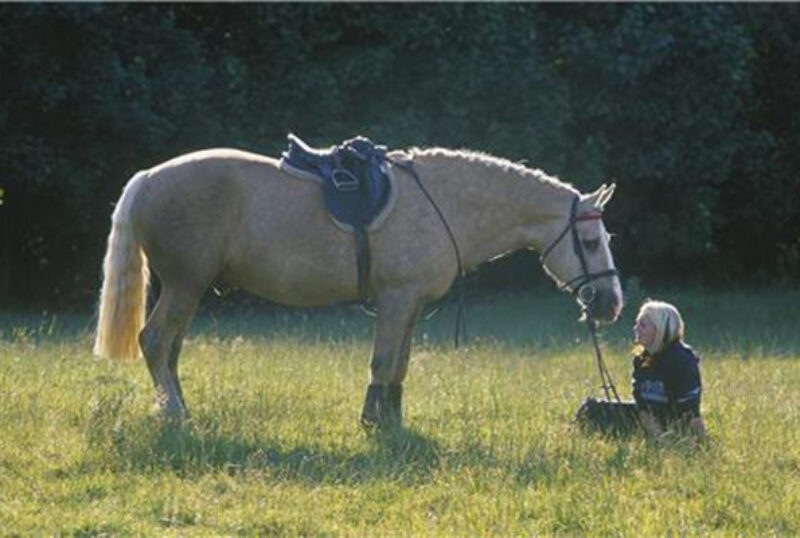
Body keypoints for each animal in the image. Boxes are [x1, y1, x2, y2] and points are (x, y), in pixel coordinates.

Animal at [94, 143, 624, 428]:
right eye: (590, 241)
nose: (611, 305)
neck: (444, 202)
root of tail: (147, 178)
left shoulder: (409, 306)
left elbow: (400, 366)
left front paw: (392, 422)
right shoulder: (396, 299)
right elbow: (383, 362)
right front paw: (373, 424)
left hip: (187, 289)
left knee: (169, 350)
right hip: (185, 286)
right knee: (155, 341)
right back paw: (176, 416)